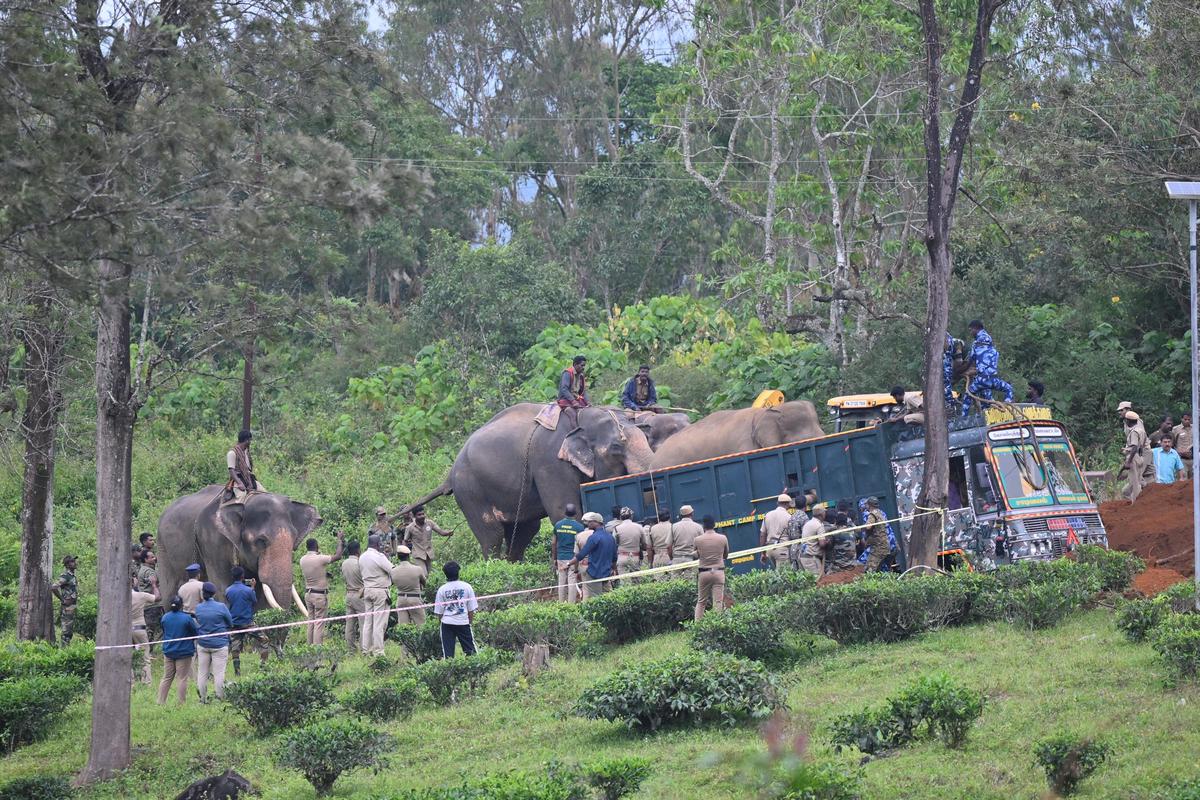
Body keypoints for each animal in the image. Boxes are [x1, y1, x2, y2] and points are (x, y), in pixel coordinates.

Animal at [157, 486, 322, 615]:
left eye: (294, 539)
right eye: (261, 540)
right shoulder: (212, 541)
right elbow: (222, 591)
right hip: (163, 548)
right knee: (170, 595)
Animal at [408, 404, 654, 560]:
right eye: (616, 447)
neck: (578, 417)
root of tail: (449, 475)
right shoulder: (549, 462)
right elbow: (566, 512)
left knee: (523, 531)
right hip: (470, 491)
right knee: (492, 535)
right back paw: (495, 567)